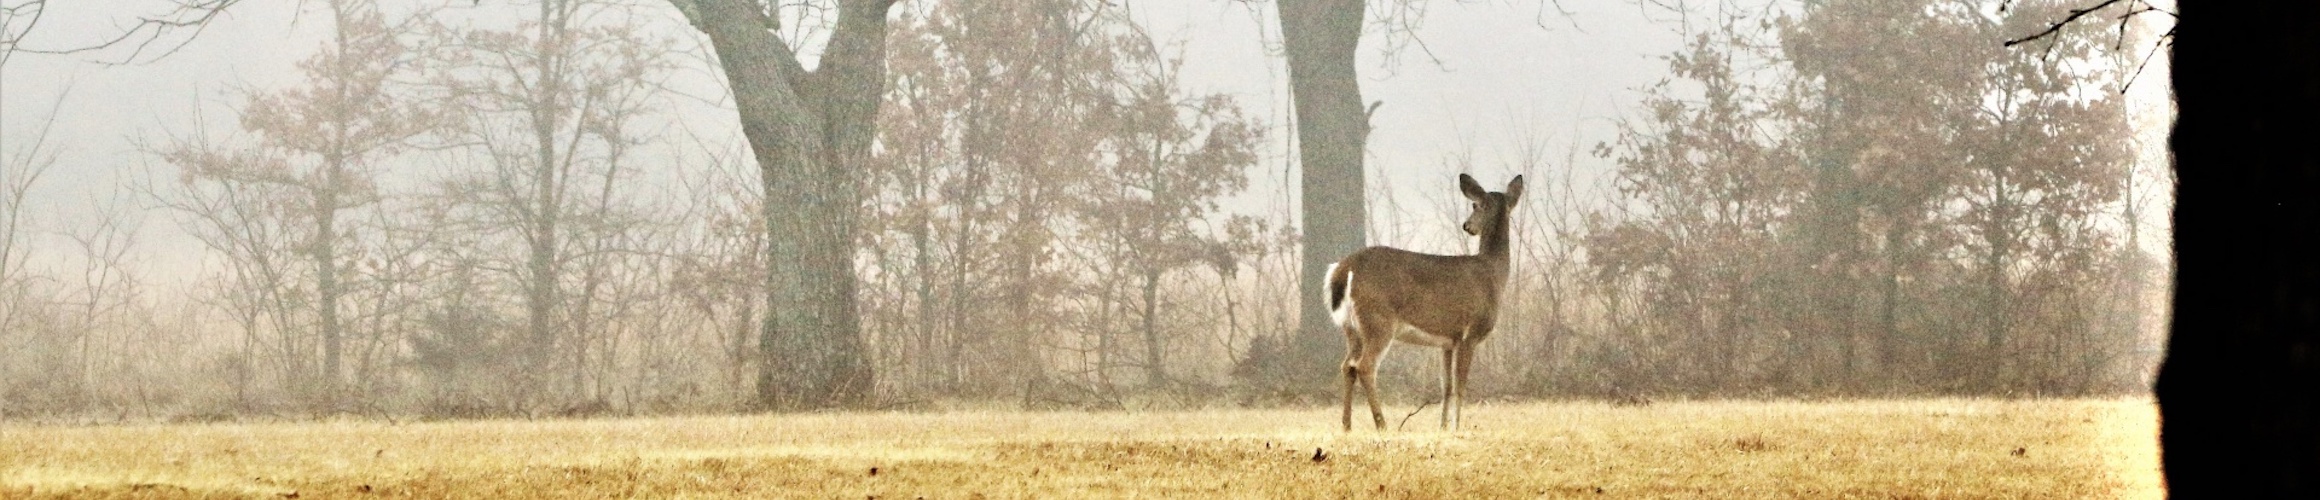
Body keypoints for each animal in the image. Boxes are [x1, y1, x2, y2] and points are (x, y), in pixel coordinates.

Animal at [1327, 173, 1522, 431]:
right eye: (1475, 204)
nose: (1467, 226)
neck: (1493, 273)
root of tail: (1345, 267)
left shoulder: (1448, 341)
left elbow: (1446, 386)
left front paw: (1443, 427)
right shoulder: (1470, 333)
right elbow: (1460, 386)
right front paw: (1457, 427)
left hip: (1351, 328)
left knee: (1347, 366)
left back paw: (1347, 426)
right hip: (1378, 320)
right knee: (1365, 366)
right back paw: (1382, 424)